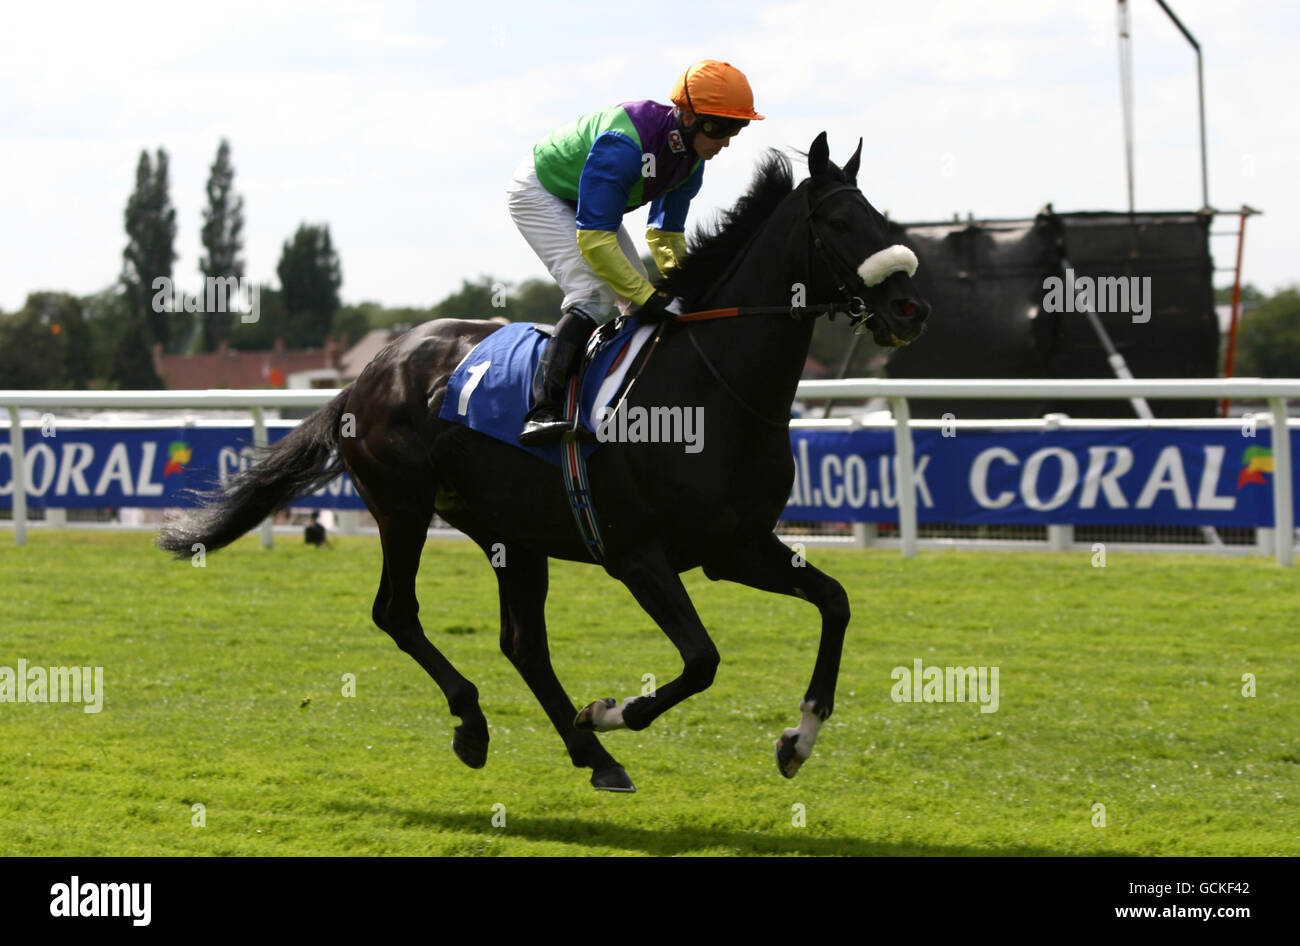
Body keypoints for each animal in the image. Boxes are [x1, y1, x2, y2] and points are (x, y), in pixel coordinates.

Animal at [157, 135, 930, 790]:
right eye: (839, 220)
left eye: (881, 215)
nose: (910, 307)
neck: (712, 388)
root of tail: (368, 374)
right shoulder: (637, 555)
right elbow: (703, 660)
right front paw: (613, 709)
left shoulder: (734, 546)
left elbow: (835, 602)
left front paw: (798, 739)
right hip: (402, 507)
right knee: (397, 612)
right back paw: (479, 724)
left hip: (511, 532)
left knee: (522, 643)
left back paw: (592, 755)